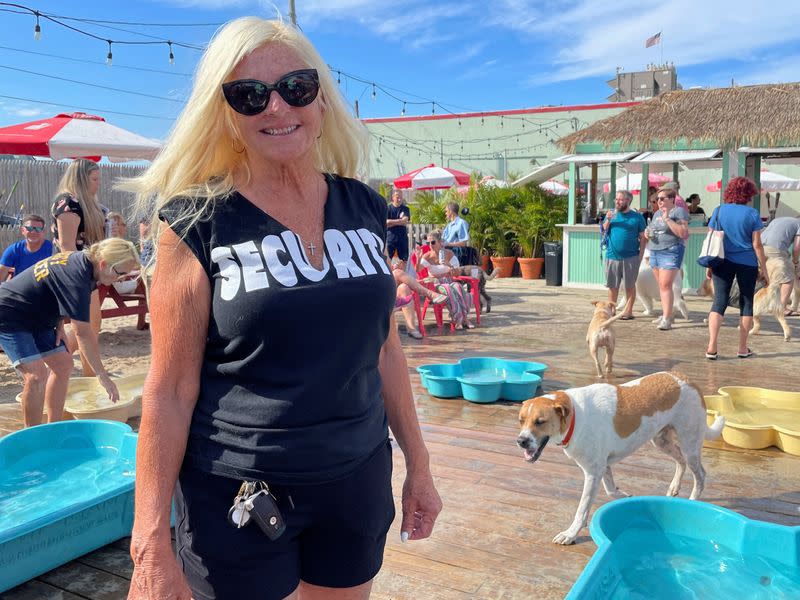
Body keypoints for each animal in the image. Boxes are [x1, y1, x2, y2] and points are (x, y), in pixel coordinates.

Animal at [516, 370, 728, 544]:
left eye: (540, 422)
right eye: (521, 420)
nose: (521, 441)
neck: (575, 417)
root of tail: (687, 380)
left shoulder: (593, 472)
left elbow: (582, 509)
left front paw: (570, 534)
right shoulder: (602, 467)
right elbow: (611, 490)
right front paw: (625, 496)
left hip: (690, 445)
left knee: (700, 475)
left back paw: (692, 500)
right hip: (660, 441)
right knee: (680, 461)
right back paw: (674, 487)